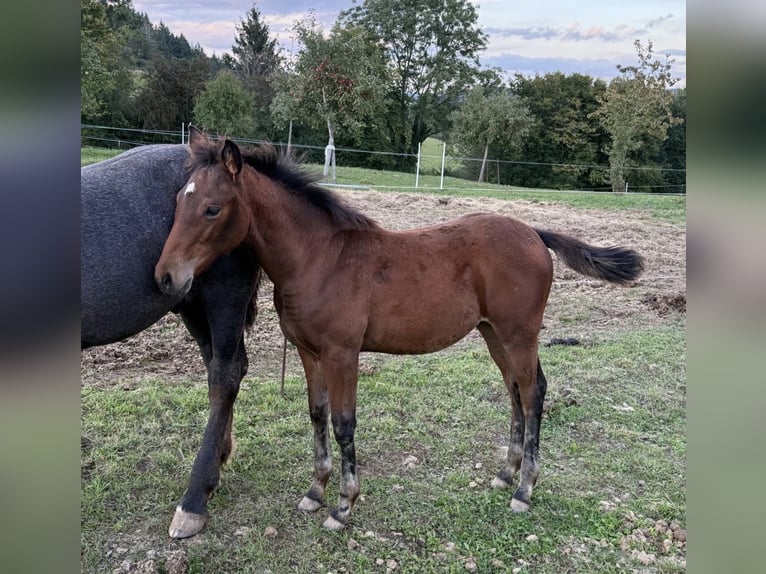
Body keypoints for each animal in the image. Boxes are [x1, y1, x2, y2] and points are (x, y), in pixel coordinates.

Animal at [155, 128, 644, 530]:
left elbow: (344, 423)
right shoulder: (309, 353)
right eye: (177, 202)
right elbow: (317, 415)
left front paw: (344, 506)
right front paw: (315, 492)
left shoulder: (342, 353)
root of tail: (534, 233)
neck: (319, 259)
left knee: (533, 392)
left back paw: (525, 490)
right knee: (516, 392)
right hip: (493, 333)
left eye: (212, 208)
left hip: (519, 333)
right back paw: (506, 474)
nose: (166, 277)